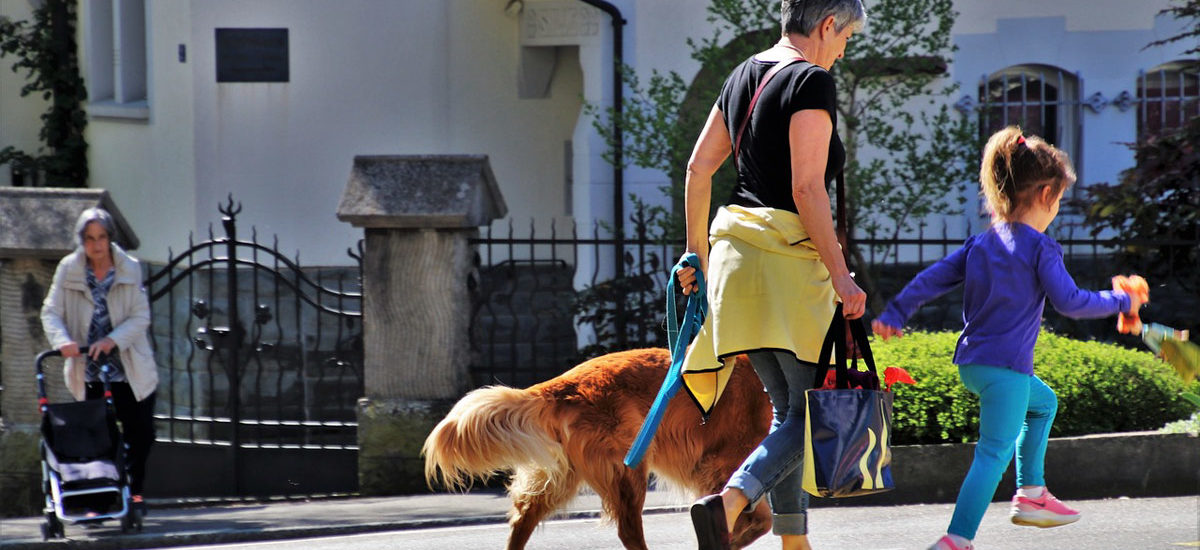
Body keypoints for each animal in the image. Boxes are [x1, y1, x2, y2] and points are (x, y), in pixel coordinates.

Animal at [427, 348, 772, 550]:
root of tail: (563, 385)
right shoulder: (727, 461)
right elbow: (758, 520)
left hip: (561, 476)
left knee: (521, 520)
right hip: (627, 470)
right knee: (629, 531)